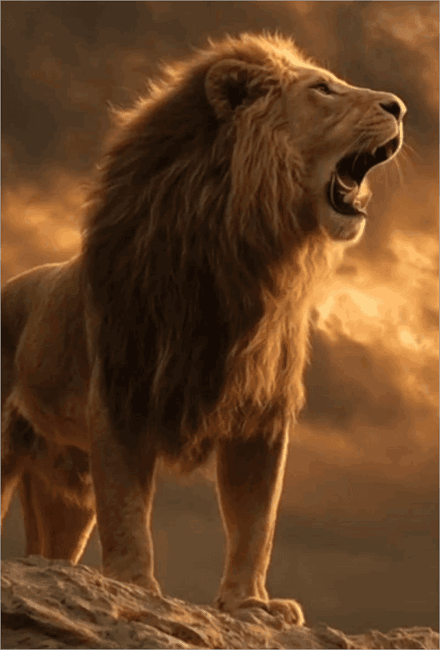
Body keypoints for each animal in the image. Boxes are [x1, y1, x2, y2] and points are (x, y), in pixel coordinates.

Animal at [1, 33, 405, 624]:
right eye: (323, 88)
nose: (399, 107)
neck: (243, 252)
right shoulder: (123, 391)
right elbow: (127, 507)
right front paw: (133, 586)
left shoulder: (260, 413)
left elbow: (256, 519)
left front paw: (251, 602)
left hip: (64, 491)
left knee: (51, 549)